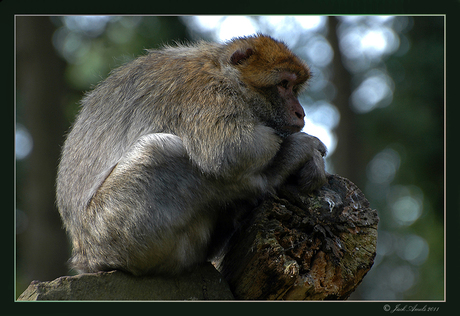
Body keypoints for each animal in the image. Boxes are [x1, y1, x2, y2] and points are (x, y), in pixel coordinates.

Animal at [56, 35, 328, 276]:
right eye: (284, 84)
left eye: (295, 87)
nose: (300, 112)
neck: (223, 71)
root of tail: (87, 259)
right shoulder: (203, 92)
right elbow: (232, 149)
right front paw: (296, 149)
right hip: (118, 232)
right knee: (162, 152)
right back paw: (272, 177)